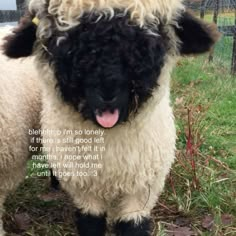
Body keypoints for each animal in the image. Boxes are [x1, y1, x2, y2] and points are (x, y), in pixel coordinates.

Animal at [3, 0, 219, 235]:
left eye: (149, 37)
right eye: (65, 41)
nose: (107, 93)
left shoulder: (143, 188)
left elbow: (133, 226)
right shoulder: (84, 187)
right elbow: (91, 224)